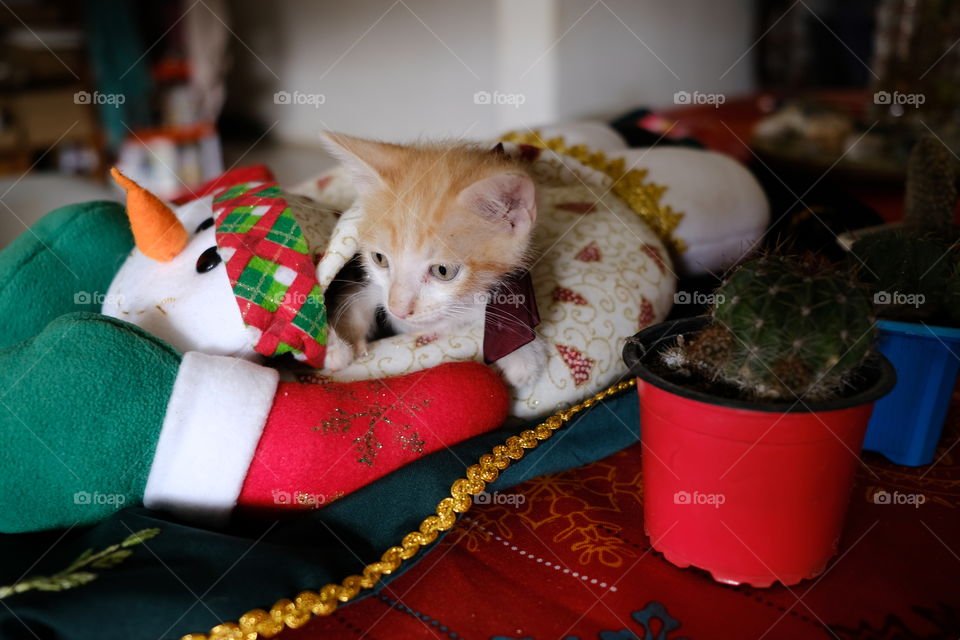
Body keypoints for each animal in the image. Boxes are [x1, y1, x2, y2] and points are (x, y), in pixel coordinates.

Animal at [320, 132, 548, 388]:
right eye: (379, 258)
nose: (398, 310)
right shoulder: (366, 282)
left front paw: (523, 354)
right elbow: (352, 300)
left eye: (443, 271)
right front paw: (338, 347)